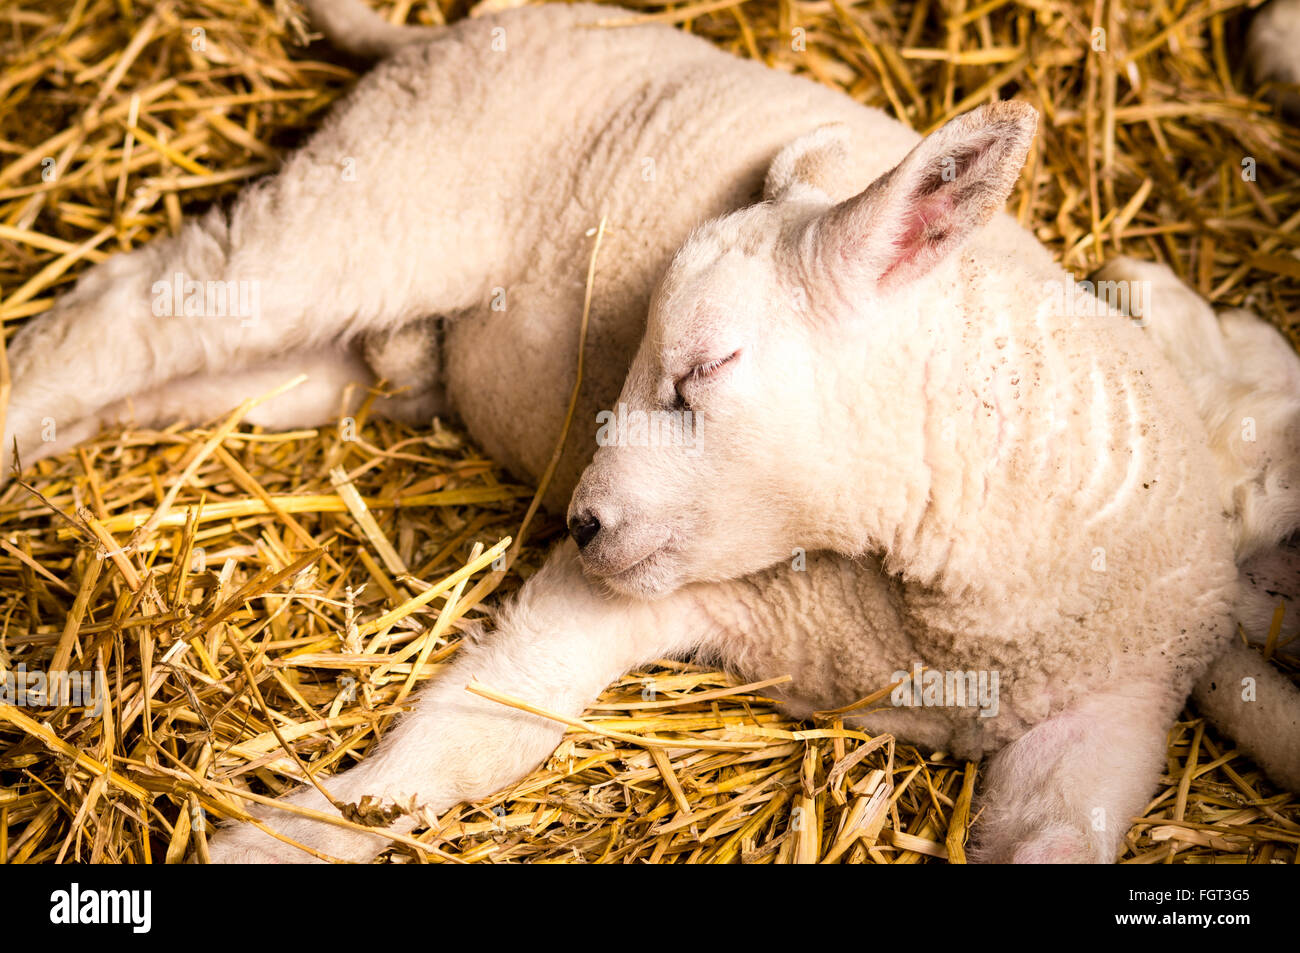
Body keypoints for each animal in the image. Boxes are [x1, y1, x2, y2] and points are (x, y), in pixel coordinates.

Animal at [4, 0, 1297, 863]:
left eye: (702, 369)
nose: (579, 518)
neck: (904, 606)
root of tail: (451, 30)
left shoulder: (1101, 724)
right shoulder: (655, 586)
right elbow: (472, 735)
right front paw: (289, 838)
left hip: (351, 342)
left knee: (184, 376)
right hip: (383, 194)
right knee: (135, 306)